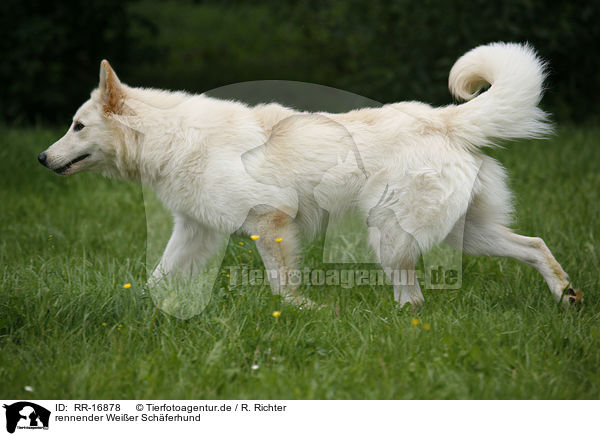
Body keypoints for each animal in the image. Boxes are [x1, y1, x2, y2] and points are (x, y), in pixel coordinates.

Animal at [37, 41, 580, 306]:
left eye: (77, 125)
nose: (42, 159)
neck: (172, 137)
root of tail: (442, 117)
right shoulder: (195, 233)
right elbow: (156, 280)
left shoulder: (271, 222)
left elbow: (282, 288)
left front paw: (300, 314)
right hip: (466, 236)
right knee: (535, 246)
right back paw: (567, 296)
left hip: (392, 238)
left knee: (415, 298)